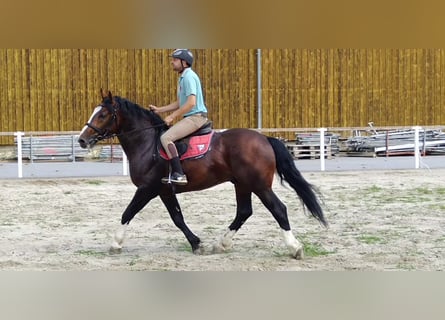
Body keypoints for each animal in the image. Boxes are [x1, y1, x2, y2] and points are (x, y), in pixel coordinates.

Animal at [78, 90, 326, 260]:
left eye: (102, 114)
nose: (81, 140)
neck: (147, 143)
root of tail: (264, 138)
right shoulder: (164, 191)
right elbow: (177, 218)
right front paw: (197, 244)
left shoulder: (147, 189)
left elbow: (127, 213)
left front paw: (116, 243)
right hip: (242, 184)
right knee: (244, 212)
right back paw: (222, 244)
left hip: (259, 186)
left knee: (278, 210)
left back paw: (295, 248)